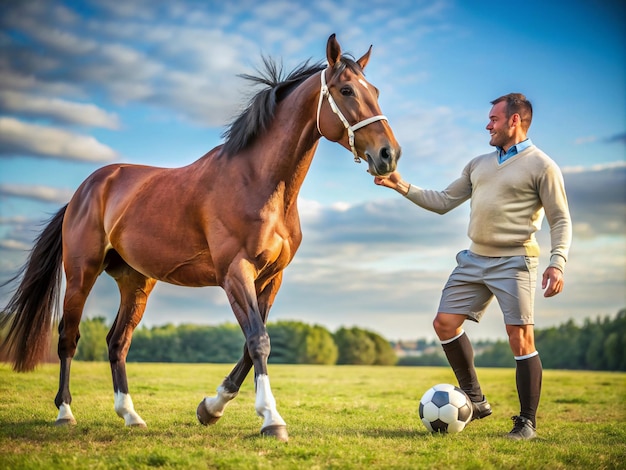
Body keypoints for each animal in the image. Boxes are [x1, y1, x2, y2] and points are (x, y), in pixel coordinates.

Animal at [0, 34, 400, 440]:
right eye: (346, 90)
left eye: (375, 91)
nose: (388, 154)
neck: (257, 181)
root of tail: (85, 189)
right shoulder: (235, 273)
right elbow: (258, 340)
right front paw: (270, 418)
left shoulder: (271, 278)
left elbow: (251, 344)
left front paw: (211, 407)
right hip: (82, 273)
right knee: (68, 338)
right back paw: (65, 412)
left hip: (136, 282)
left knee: (117, 342)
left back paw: (130, 414)